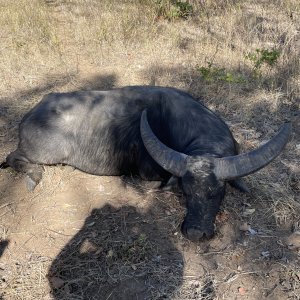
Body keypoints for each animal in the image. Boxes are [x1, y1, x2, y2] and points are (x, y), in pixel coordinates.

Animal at [0, 86, 290, 241]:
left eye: (218, 193)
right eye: (185, 192)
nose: (195, 233)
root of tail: (31, 114)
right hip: (42, 153)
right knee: (12, 157)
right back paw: (33, 175)